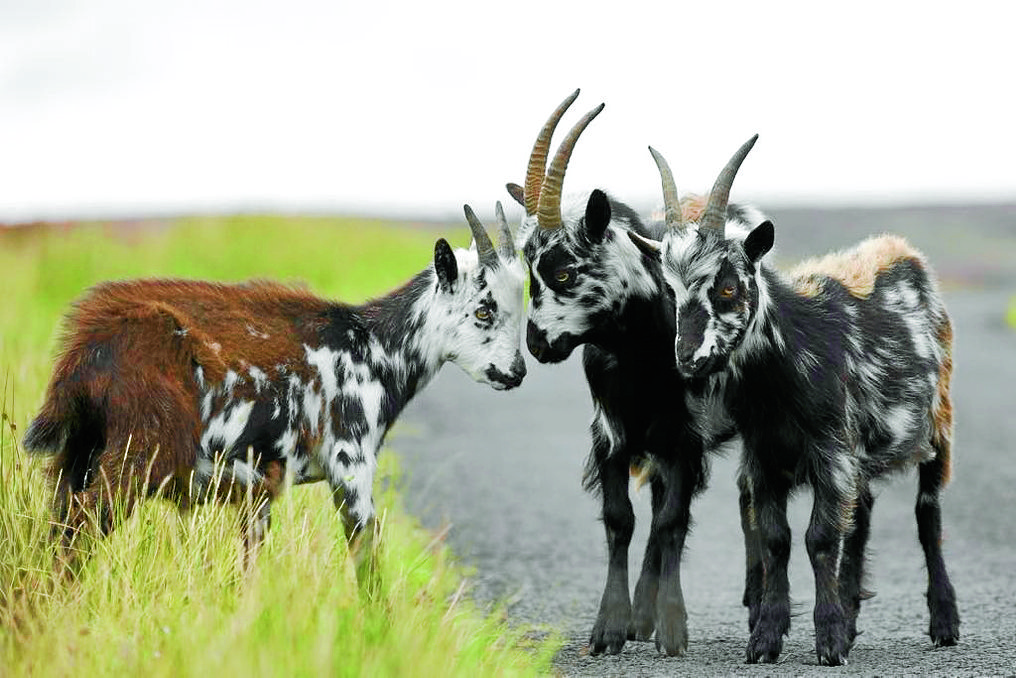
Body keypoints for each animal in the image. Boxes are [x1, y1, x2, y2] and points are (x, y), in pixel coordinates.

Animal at [23, 206, 526, 583]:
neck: (373, 347)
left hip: (75, 457)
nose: (517, 372)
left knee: (59, 526)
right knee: (84, 525)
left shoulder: (261, 487)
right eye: (484, 310)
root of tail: (83, 349)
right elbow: (367, 565)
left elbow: (250, 570)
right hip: (139, 452)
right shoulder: (350, 464)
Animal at [507, 90, 757, 656]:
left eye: (563, 271)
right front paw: (609, 628)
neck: (642, 354)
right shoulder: (611, 435)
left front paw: (673, 628)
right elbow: (621, 520)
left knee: (671, 517)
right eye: (528, 272)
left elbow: (670, 523)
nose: (537, 345)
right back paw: (640, 617)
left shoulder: (685, 438)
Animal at [629, 137, 960, 665]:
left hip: (938, 426)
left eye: (729, 285)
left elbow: (820, 538)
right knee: (863, 515)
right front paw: (767, 637)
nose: (688, 359)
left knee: (927, 516)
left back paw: (943, 621)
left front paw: (828, 641)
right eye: (671, 290)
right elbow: (777, 540)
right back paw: (852, 614)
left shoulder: (830, 453)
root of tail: (900, 249)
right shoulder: (765, 458)